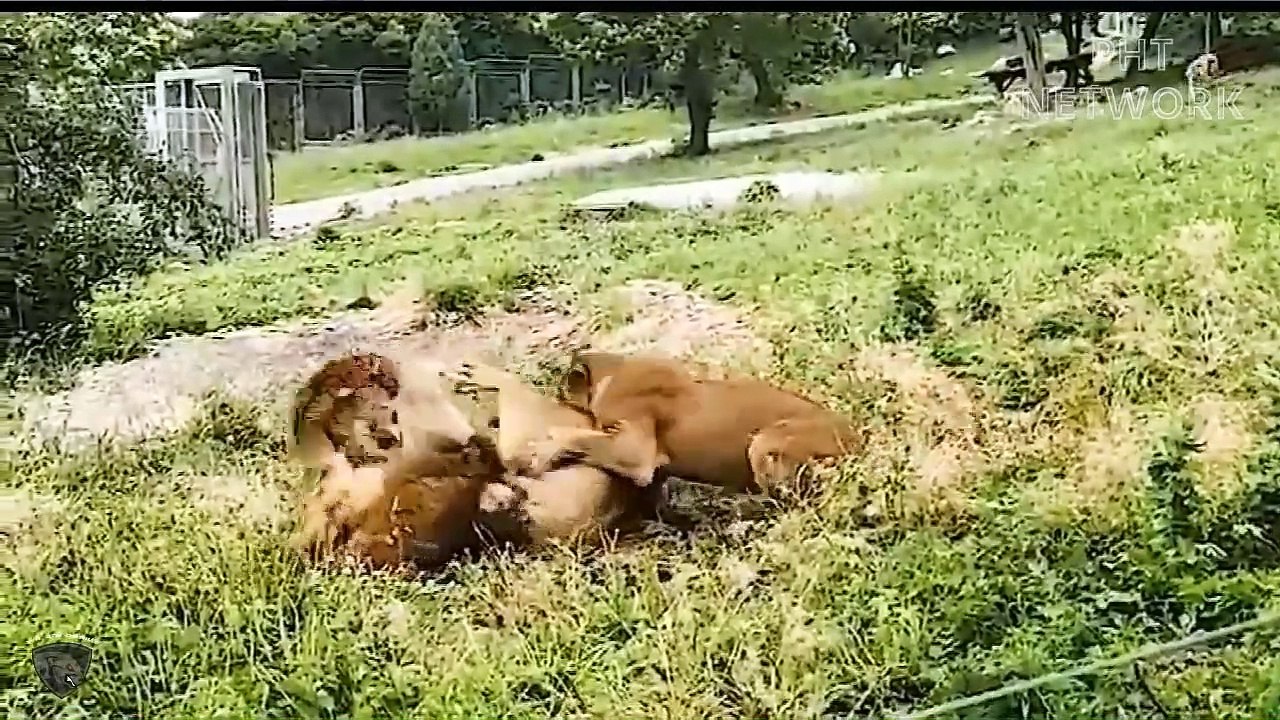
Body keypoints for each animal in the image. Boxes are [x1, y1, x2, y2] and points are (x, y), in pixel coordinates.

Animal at [519, 350, 863, 496]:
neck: (611, 372)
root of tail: (858, 438)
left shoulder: (635, 454)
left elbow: (580, 435)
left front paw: (542, 448)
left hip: (764, 442)